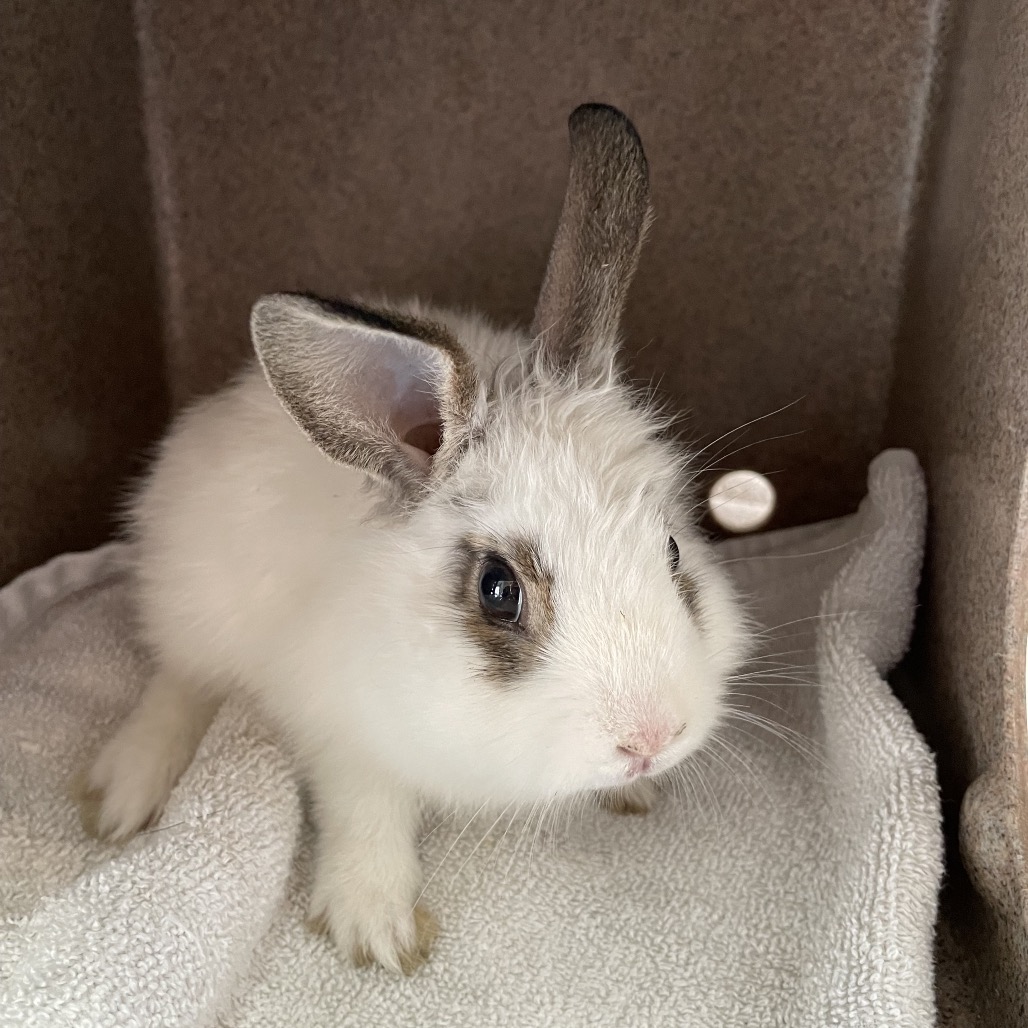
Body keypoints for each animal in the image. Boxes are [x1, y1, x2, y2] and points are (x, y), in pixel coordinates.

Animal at [80, 103, 751, 975]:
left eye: (672, 552)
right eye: (498, 590)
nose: (651, 738)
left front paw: (631, 790)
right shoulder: (345, 734)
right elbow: (367, 815)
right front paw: (377, 927)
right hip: (194, 602)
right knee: (179, 682)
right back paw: (122, 795)